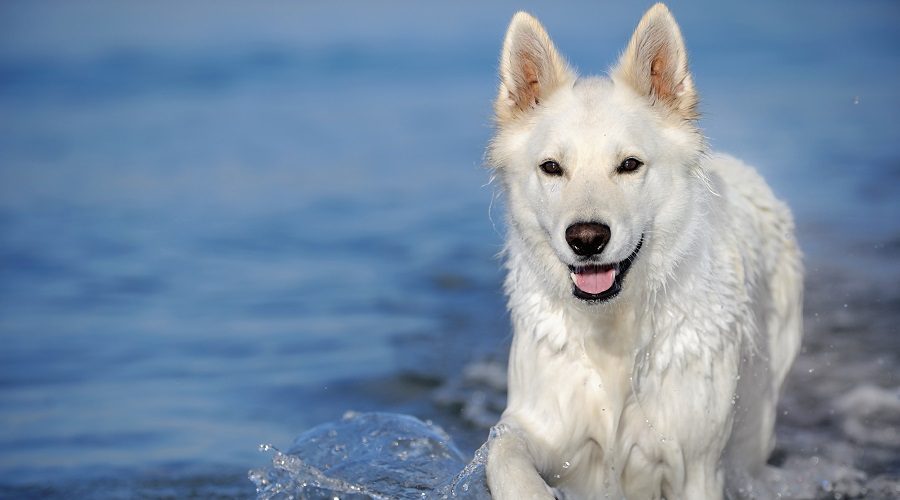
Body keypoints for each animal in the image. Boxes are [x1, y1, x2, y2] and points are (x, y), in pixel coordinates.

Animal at [486, 4, 800, 500]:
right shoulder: (542, 426)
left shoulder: (697, 467)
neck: (613, 332)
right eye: (552, 168)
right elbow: (504, 454)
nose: (587, 238)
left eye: (629, 165)